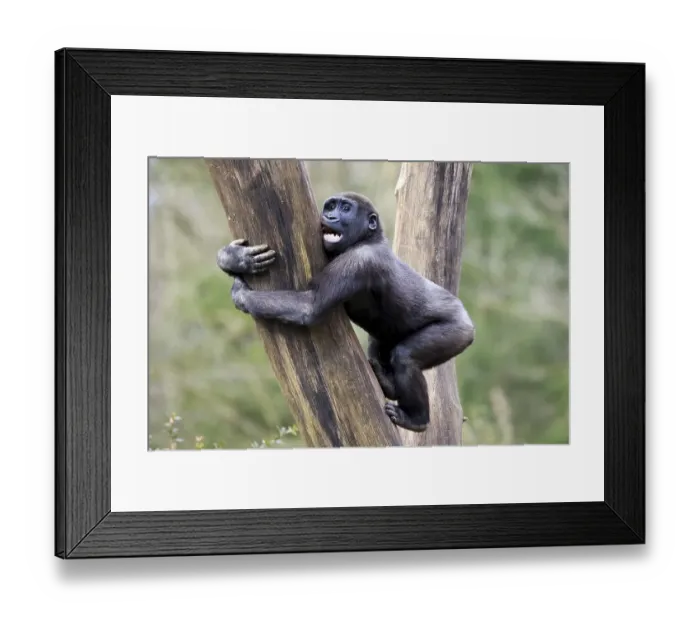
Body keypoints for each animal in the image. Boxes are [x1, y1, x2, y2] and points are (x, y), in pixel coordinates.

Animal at [215, 192, 475, 433]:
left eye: (346, 208)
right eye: (330, 206)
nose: (330, 216)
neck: (369, 237)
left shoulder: (360, 261)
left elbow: (309, 305)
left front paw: (242, 296)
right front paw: (233, 259)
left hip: (458, 330)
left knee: (406, 357)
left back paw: (416, 420)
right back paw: (387, 383)